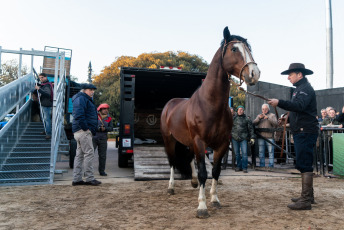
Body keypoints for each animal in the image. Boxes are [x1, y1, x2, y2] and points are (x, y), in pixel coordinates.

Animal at [161, 26, 260, 217]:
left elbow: (215, 171)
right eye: (234, 49)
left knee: (190, 158)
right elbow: (203, 173)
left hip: (188, 141)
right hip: (169, 140)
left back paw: (192, 182)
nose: (254, 73)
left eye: (249, 49)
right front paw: (202, 207)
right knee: (172, 161)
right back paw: (170, 187)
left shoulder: (222, 144)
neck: (210, 104)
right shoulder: (200, 141)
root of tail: (170, 104)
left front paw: (214, 199)